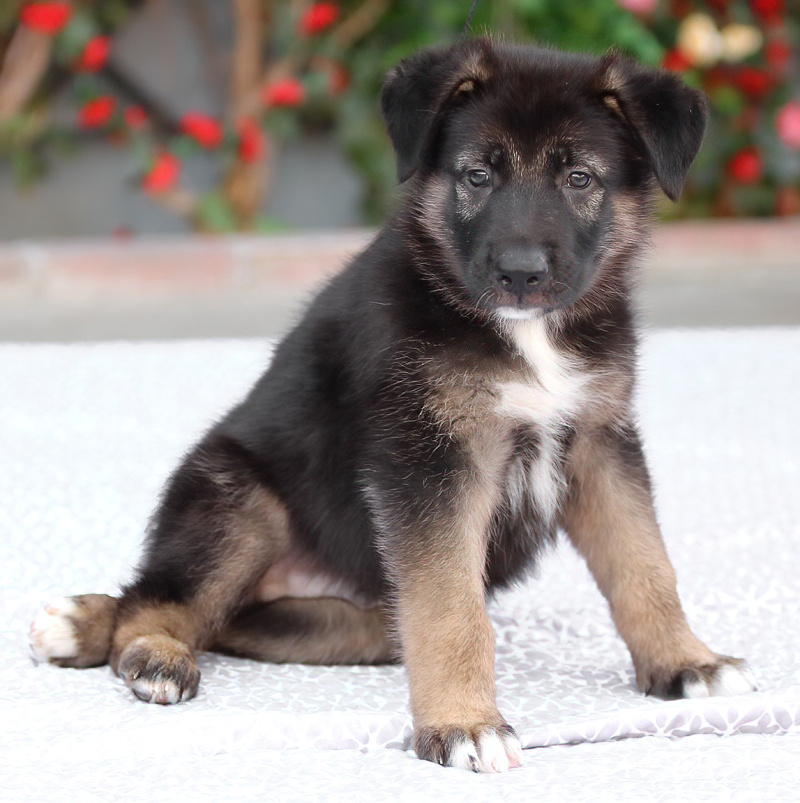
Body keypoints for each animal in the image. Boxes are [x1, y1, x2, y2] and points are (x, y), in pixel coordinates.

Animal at [30, 38, 756, 773]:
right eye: (476, 176)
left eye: (580, 179)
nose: (520, 274)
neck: (527, 335)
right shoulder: (428, 459)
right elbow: (451, 611)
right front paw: (465, 725)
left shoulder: (601, 441)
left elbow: (645, 564)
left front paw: (687, 662)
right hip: (237, 500)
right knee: (160, 601)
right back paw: (149, 654)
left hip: (344, 616)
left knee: (224, 618)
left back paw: (84, 623)